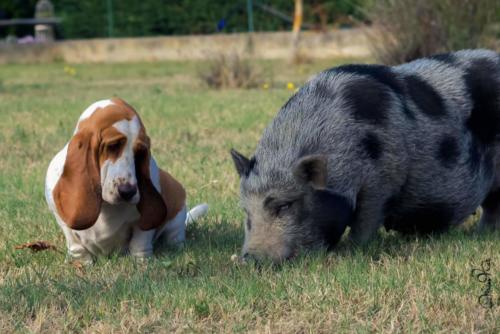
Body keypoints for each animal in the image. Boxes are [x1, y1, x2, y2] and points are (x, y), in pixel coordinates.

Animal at [44, 98, 206, 262]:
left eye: (140, 152)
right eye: (112, 146)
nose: (128, 192)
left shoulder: (143, 227)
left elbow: (140, 242)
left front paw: (142, 262)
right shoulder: (64, 224)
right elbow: (76, 246)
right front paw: (81, 263)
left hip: (177, 203)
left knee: (175, 235)